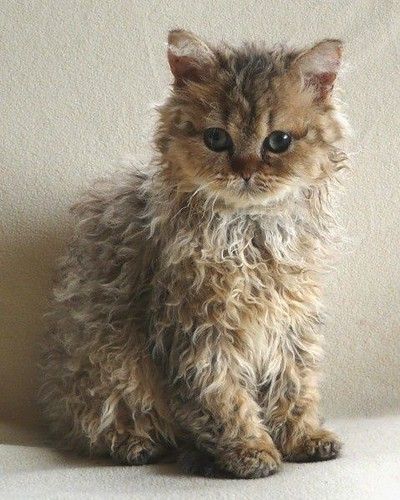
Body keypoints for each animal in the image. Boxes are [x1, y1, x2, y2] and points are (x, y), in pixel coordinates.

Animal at [39, 29, 348, 478]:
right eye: (216, 138)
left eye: (279, 141)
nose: (245, 170)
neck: (249, 236)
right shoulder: (198, 332)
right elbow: (225, 401)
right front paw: (250, 451)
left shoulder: (291, 325)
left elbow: (295, 387)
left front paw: (302, 437)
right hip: (106, 368)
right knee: (99, 425)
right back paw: (137, 445)